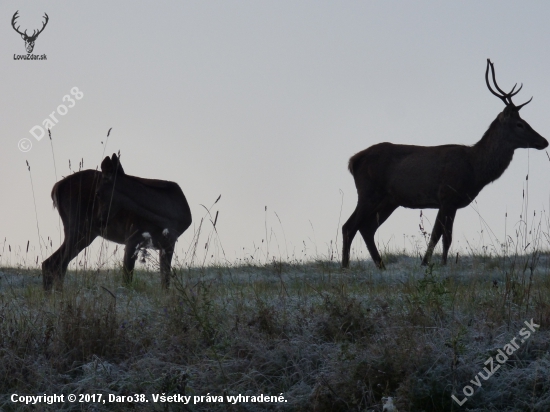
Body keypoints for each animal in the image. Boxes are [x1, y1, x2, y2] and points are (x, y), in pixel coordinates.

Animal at [41, 153, 192, 292]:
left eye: (98, 193)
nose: (99, 221)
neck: (168, 217)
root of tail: (56, 188)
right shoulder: (132, 237)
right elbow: (126, 280)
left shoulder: (169, 243)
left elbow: (165, 282)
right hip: (77, 226)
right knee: (55, 263)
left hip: (85, 233)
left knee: (55, 263)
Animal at [344, 59, 548, 268]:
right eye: (520, 124)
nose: (544, 141)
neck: (475, 169)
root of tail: (353, 160)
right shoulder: (447, 195)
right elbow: (441, 236)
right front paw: (433, 264)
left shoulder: (451, 202)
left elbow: (443, 236)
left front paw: (433, 263)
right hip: (368, 192)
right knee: (349, 226)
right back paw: (346, 266)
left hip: (389, 200)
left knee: (367, 228)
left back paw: (381, 266)